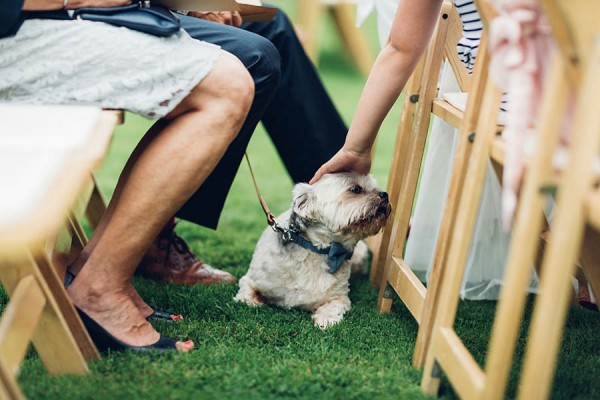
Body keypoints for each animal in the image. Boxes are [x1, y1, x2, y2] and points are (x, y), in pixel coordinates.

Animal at [232, 172, 392, 328]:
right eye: (356, 189)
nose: (385, 194)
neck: (316, 251)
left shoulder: (339, 297)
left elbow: (334, 306)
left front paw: (326, 319)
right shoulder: (251, 280)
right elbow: (246, 296)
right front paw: (254, 301)